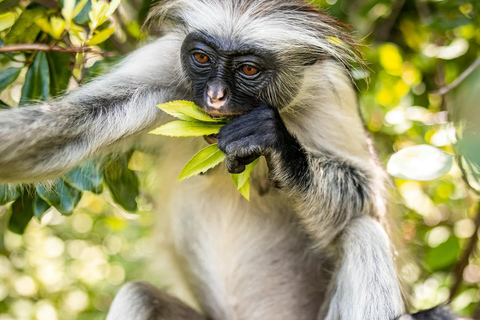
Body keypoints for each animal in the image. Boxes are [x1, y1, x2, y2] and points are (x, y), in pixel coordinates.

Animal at [0, 0, 458, 320]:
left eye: (249, 69)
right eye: (202, 58)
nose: (216, 96)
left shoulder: (330, 92)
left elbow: (371, 201)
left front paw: (277, 145)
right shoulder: (164, 64)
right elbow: (70, 128)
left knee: (363, 232)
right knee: (138, 295)